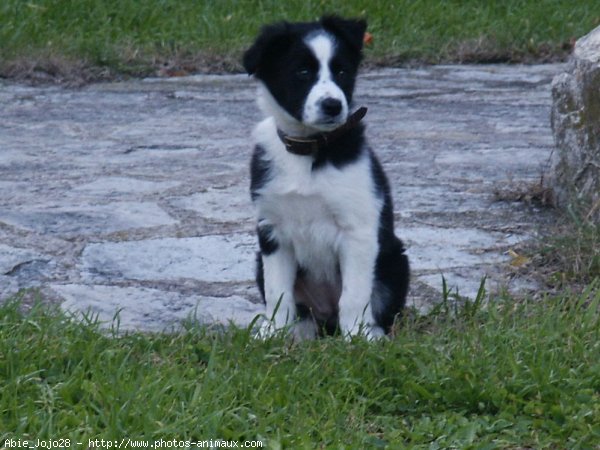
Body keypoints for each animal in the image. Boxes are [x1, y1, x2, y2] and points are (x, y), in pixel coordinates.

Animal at [243, 14, 408, 342]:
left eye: (342, 71)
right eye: (302, 71)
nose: (333, 105)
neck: (308, 150)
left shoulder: (357, 230)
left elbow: (354, 295)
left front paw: (356, 337)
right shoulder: (272, 231)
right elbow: (278, 293)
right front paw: (274, 333)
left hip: (395, 260)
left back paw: (372, 332)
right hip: (259, 261)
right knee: (304, 313)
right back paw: (297, 331)